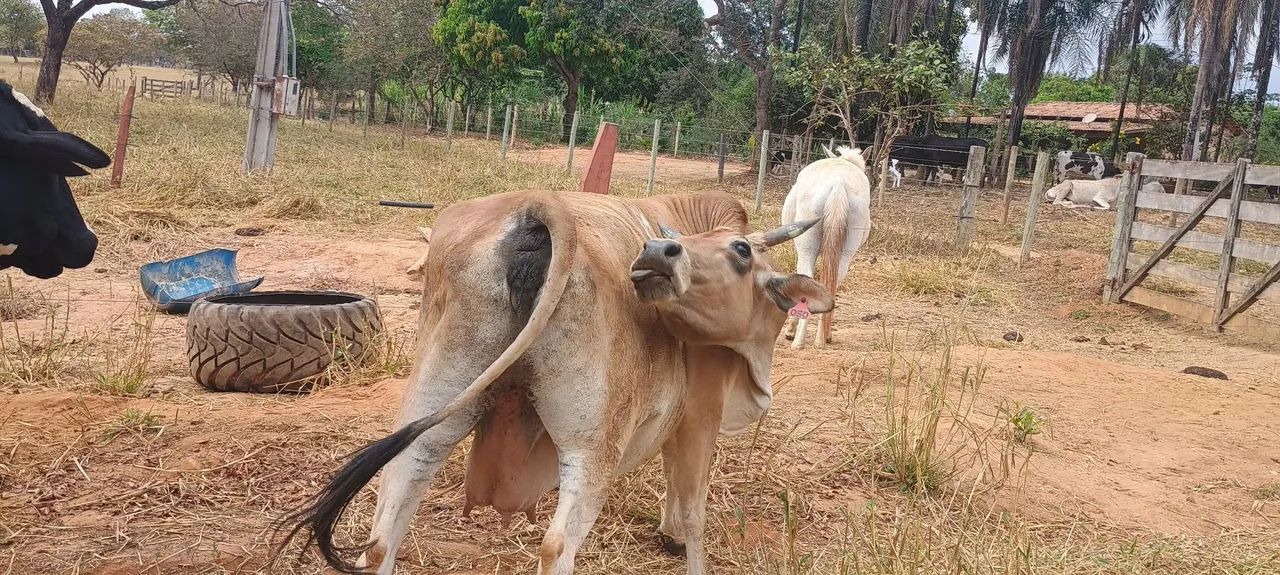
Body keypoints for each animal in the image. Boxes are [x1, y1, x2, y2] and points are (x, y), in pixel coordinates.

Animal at [278, 190, 833, 575]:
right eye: (741, 249)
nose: (657, 250)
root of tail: (539, 206)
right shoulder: (698, 417)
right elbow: (693, 507)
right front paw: (681, 540)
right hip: (591, 450)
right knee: (557, 545)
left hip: (430, 416)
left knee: (385, 528)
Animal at [781, 145, 871, 349]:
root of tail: (838, 185)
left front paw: (790, 330)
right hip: (845, 254)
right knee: (834, 283)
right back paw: (822, 339)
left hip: (807, 249)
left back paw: (797, 341)